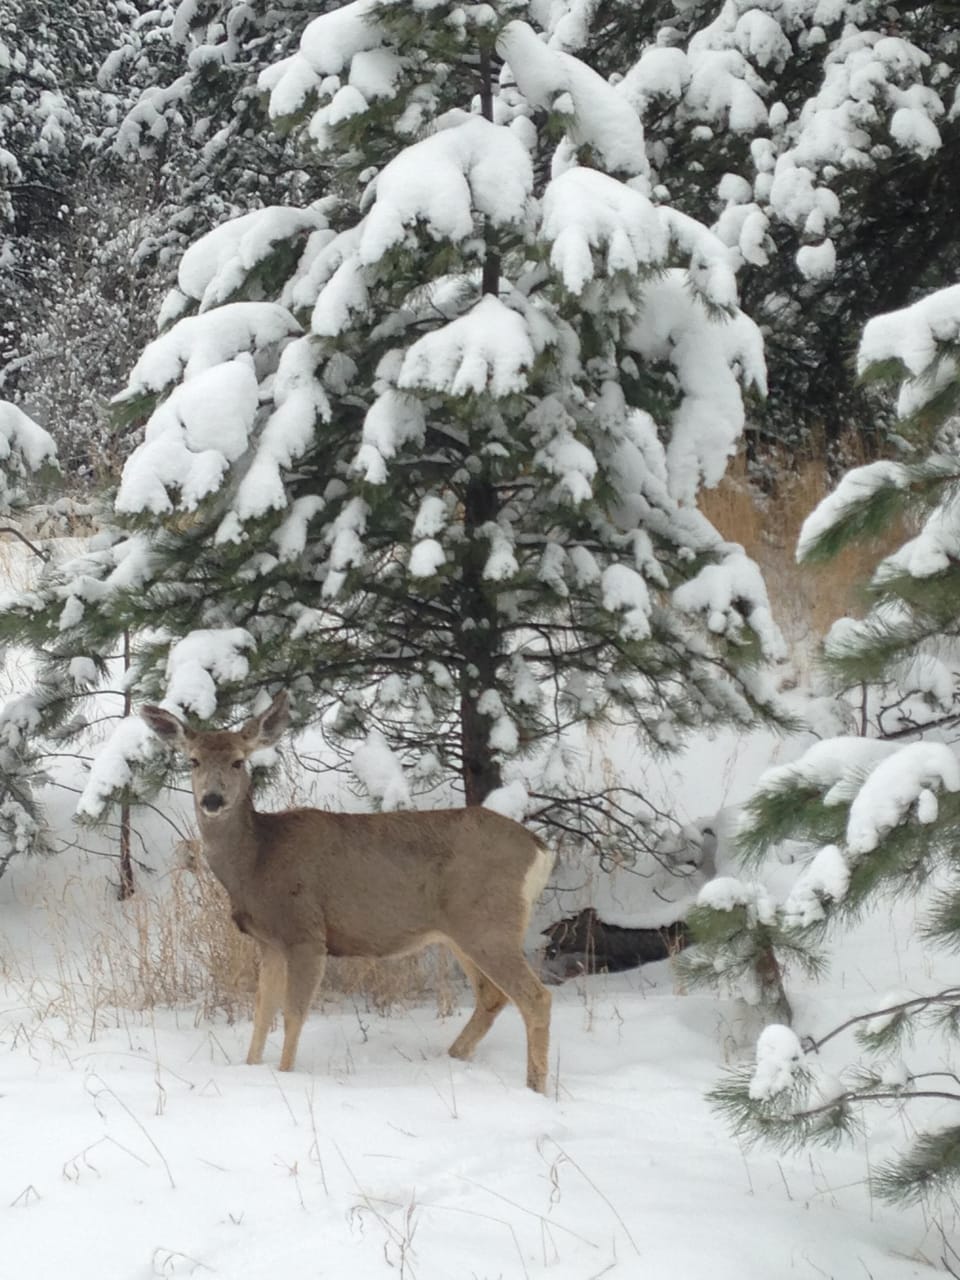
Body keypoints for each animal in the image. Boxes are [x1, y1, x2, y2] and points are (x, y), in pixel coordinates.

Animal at [141, 691, 555, 1092]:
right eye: (193, 761)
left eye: (238, 762)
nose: (212, 800)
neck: (258, 862)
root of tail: (540, 850)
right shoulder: (269, 941)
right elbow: (262, 1012)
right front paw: (251, 1068)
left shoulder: (305, 932)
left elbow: (293, 1014)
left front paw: (286, 1075)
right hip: (460, 931)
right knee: (493, 995)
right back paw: (453, 1058)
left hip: (488, 922)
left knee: (536, 997)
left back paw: (535, 1087)